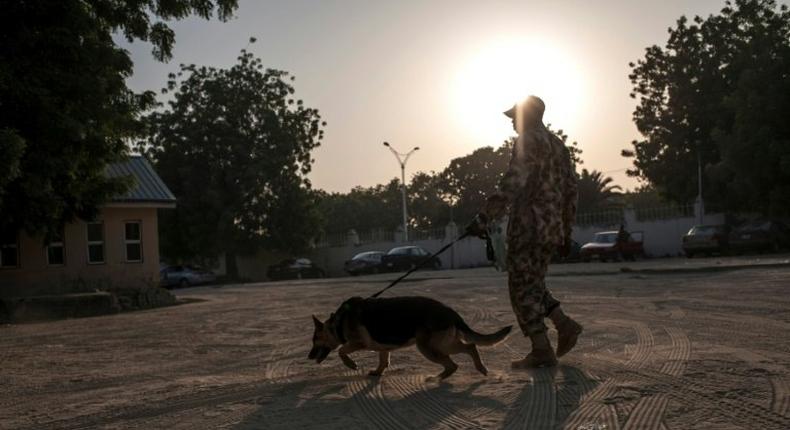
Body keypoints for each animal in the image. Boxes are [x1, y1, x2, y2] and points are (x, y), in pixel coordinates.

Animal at [310, 296, 512, 380]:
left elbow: (341, 351)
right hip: (441, 345)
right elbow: (383, 361)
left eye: (314, 341)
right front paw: (377, 372)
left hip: (429, 348)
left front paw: (351, 365)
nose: (309, 356)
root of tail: (451, 313)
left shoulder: (359, 343)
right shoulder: (383, 348)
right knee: (466, 350)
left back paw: (441, 377)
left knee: (461, 356)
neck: (337, 322)